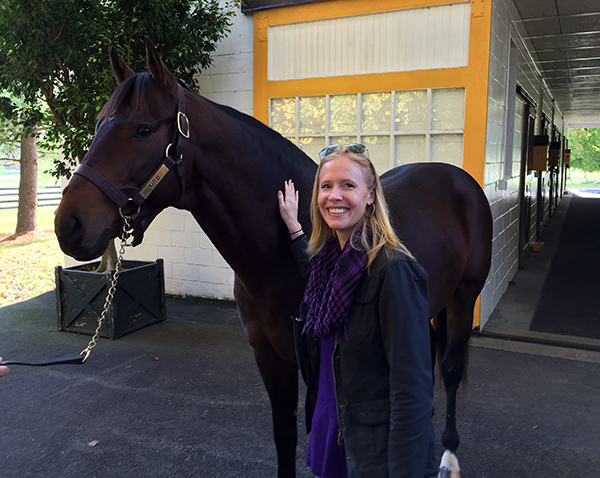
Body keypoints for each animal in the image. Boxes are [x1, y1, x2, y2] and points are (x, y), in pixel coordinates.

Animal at [54, 39, 490, 476]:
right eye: (98, 123)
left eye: (143, 129)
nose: (68, 224)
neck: (280, 259)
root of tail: (457, 178)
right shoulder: (270, 357)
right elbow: (284, 435)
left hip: (463, 299)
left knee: (450, 371)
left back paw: (449, 456)